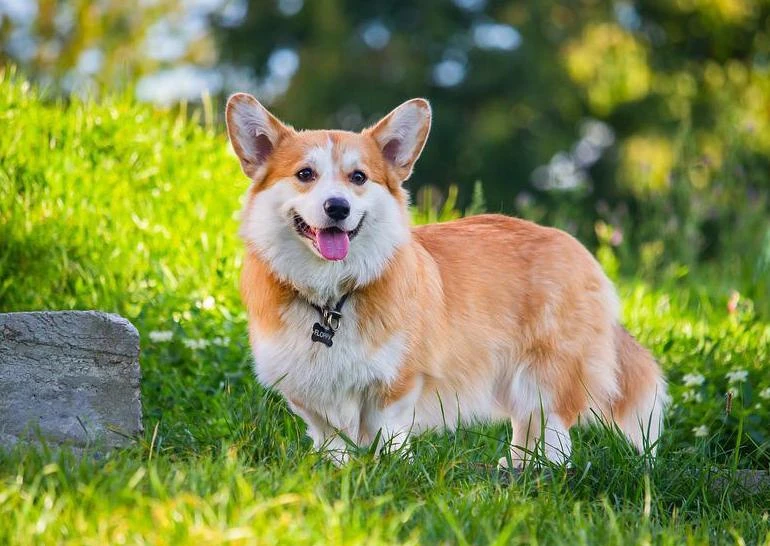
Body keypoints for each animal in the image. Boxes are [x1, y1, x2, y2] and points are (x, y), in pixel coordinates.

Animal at [224, 92, 664, 464]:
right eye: (305, 174)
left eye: (359, 178)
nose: (338, 207)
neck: (332, 297)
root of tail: (580, 250)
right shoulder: (308, 392)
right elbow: (331, 440)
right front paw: (336, 470)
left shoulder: (397, 384)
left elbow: (386, 434)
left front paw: (389, 469)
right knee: (527, 426)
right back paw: (517, 469)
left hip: (547, 374)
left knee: (553, 430)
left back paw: (542, 473)